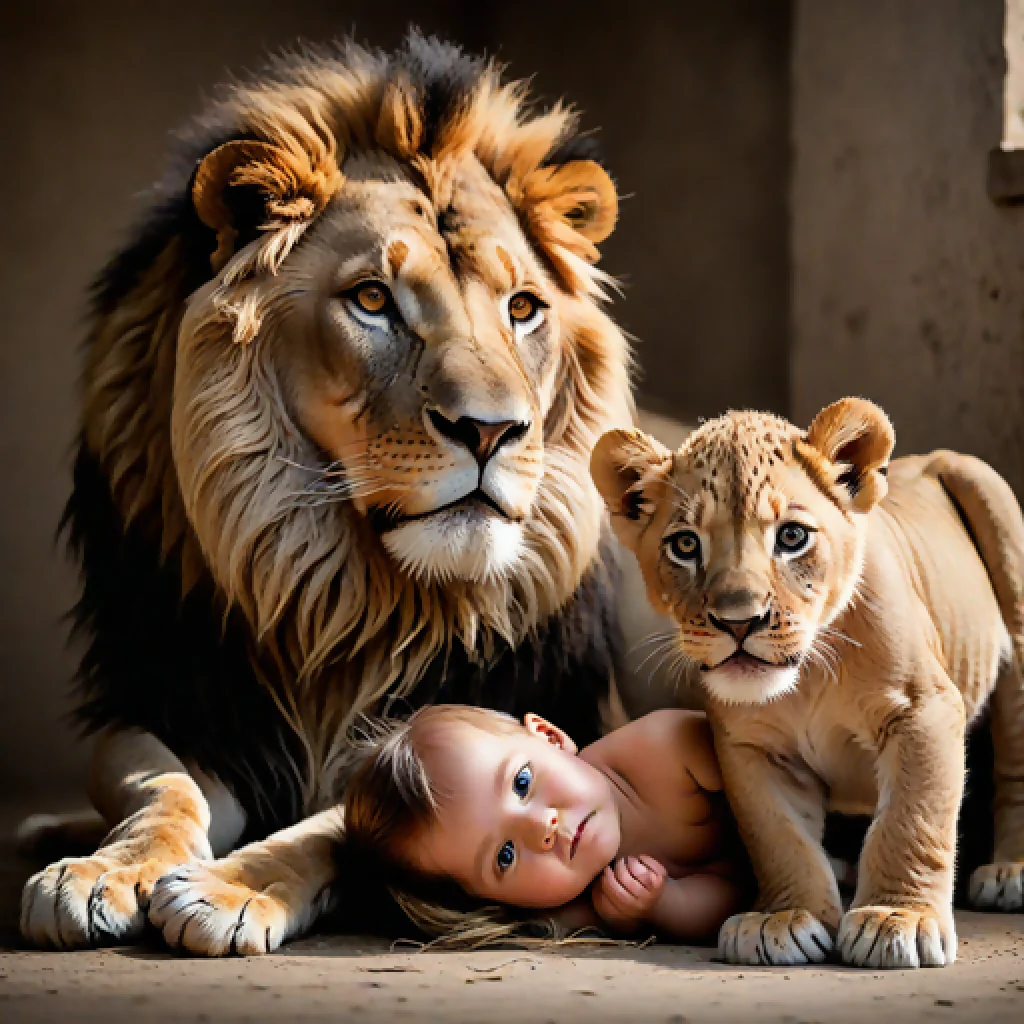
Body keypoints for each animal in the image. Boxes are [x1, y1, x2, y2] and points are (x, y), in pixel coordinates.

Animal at [20, 33, 634, 955]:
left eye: (524, 308)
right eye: (373, 300)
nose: (492, 431)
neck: (338, 596)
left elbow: (337, 821)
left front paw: (228, 888)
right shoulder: (185, 703)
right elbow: (163, 788)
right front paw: (99, 870)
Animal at [591, 397, 1024, 969]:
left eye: (792, 537)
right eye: (685, 545)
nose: (738, 621)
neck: (808, 679)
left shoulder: (922, 710)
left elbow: (912, 818)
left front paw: (897, 918)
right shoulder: (751, 746)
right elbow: (779, 837)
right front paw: (781, 919)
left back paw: (1010, 873)